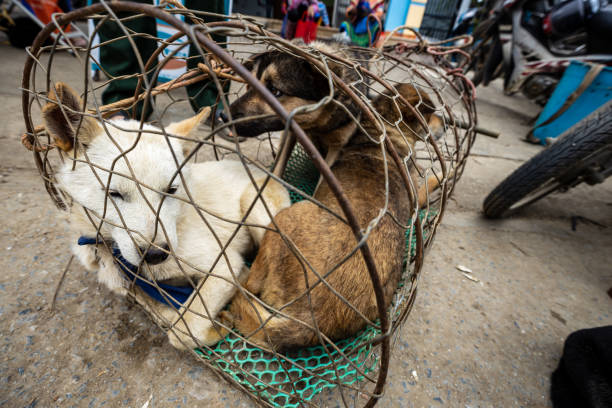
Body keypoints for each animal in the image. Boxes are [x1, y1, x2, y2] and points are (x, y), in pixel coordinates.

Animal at [43, 82, 292, 348]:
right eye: (114, 193)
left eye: (171, 190)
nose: (155, 255)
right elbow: (169, 316)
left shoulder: (226, 266)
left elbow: (182, 330)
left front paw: (217, 325)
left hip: (260, 214)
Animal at [220, 40, 444, 348]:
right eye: (250, 85)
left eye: (275, 91)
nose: (221, 115)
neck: (383, 132)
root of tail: (308, 322)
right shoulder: (292, 131)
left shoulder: (337, 147)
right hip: (285, 219)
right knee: (248, 286)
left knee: (249, 287)